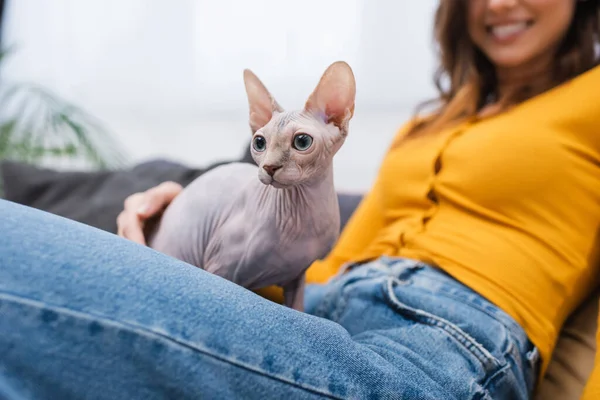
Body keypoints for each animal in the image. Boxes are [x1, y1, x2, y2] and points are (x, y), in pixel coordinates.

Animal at [147, 61, 356, 312]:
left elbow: (297, 308)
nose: (269, 167)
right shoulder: (220, 267)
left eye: (302, 141)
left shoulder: (297, 277)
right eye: (259, 143)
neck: (302, 217)